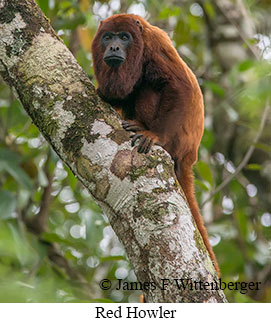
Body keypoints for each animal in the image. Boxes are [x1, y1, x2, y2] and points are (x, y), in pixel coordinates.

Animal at [92, 13, 220, 274]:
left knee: (148, 87)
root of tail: (189, 156)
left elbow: (179, 86)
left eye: (124, 37)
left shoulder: (154, 46)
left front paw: (154, 135)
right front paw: (104, 93)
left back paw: (142, 126)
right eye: (108, 37)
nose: (114, 47)